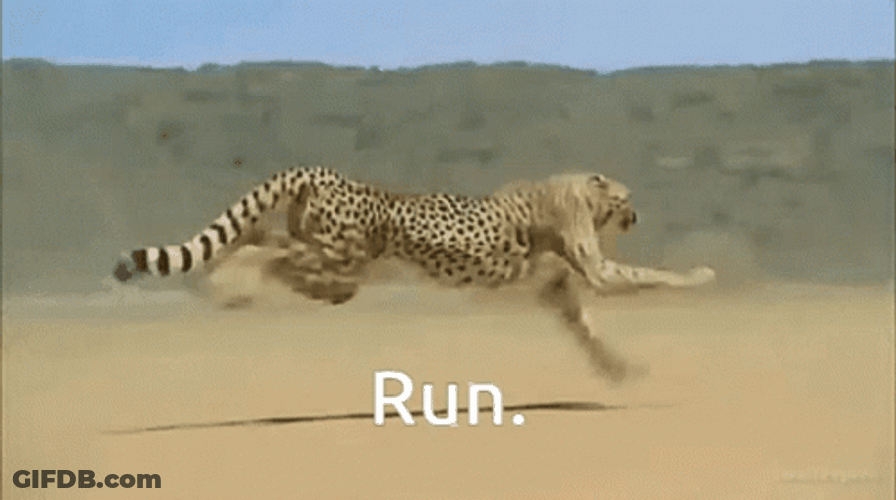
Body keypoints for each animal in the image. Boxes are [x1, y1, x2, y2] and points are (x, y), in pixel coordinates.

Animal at [113, 166, 716, 382]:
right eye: (625, 198)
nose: (636, 215)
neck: (576, 190)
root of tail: (322, 173)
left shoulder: (553, 286)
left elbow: (584, 327)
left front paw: (618, 368)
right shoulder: (594, 267)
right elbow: (647, 274)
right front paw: (702, 275)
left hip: (328, 251)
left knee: (261, 239)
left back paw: (234, 275)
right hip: (343, 257)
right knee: (279, 258)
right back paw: (232, 285)